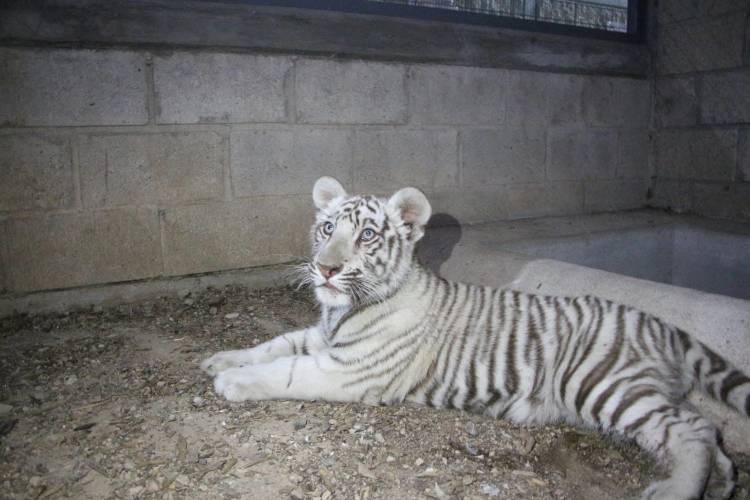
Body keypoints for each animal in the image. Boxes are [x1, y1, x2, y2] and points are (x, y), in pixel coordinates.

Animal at [202, 176, 750, 500]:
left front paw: (232, 383)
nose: (325, 268)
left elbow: (284, 370)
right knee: (703, 428)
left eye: (367, 236)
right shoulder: (321, 339)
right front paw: (217, 360)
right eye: (327, 227)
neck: (341, 312)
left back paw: (675, 491)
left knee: (691, 429)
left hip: (602, 384)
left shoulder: (348, 371)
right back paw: (722, 482)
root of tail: (664, 324)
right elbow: (275, 345)